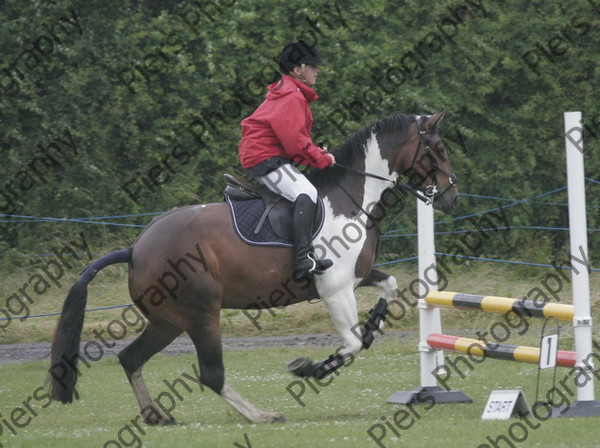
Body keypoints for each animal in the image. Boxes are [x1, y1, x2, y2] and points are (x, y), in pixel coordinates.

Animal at [50, 110, 460, 426]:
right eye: (438, 149)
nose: (451, 196)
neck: (351, 198)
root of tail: (136, 249)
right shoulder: (335, 287)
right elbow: (352, 343)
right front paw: (310, 368)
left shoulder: (355, 277)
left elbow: (387, 288)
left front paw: (373, 324)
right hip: (201, 313)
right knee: (211, 373)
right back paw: (261, 415)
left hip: (168, 320)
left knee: (131, 358)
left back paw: (156, 414)